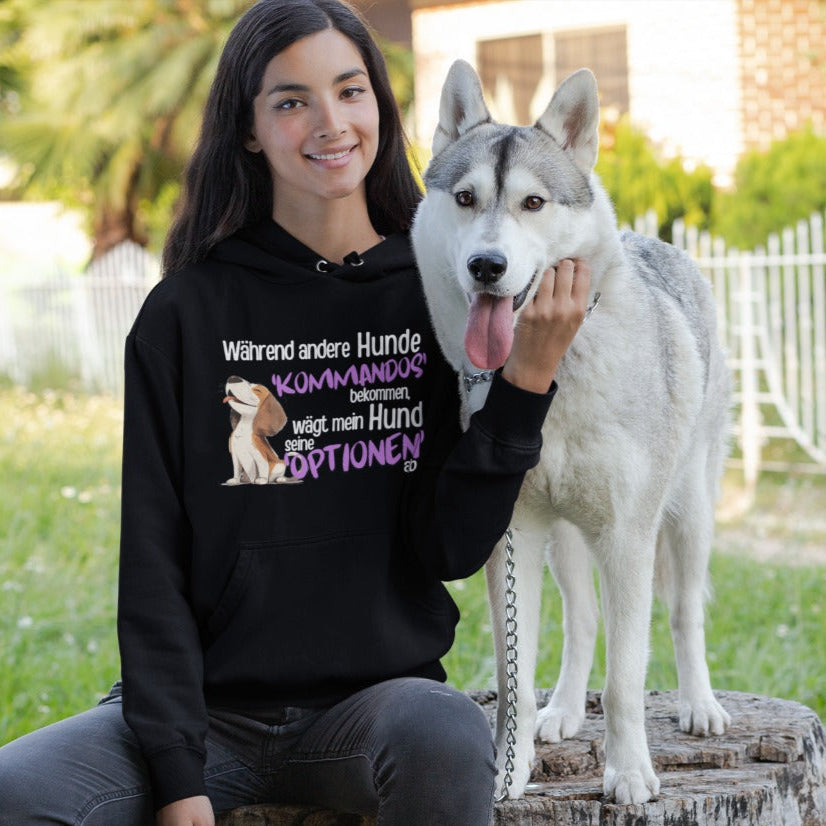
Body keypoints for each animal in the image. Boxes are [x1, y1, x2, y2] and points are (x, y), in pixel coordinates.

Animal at [410, 59, 728, 804]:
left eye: (533, 203)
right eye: (465, 198)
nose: (487, 266)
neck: (550, 379)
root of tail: (653, 240)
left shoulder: (629, 539)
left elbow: (625, 682)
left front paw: (631, 774)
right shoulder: (512, 538)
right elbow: (513, 679)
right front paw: (511, 766)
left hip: (685, 518)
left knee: (685, 615)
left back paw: (699, 705)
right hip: (563, 541)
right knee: (581, 623)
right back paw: (559, 713)